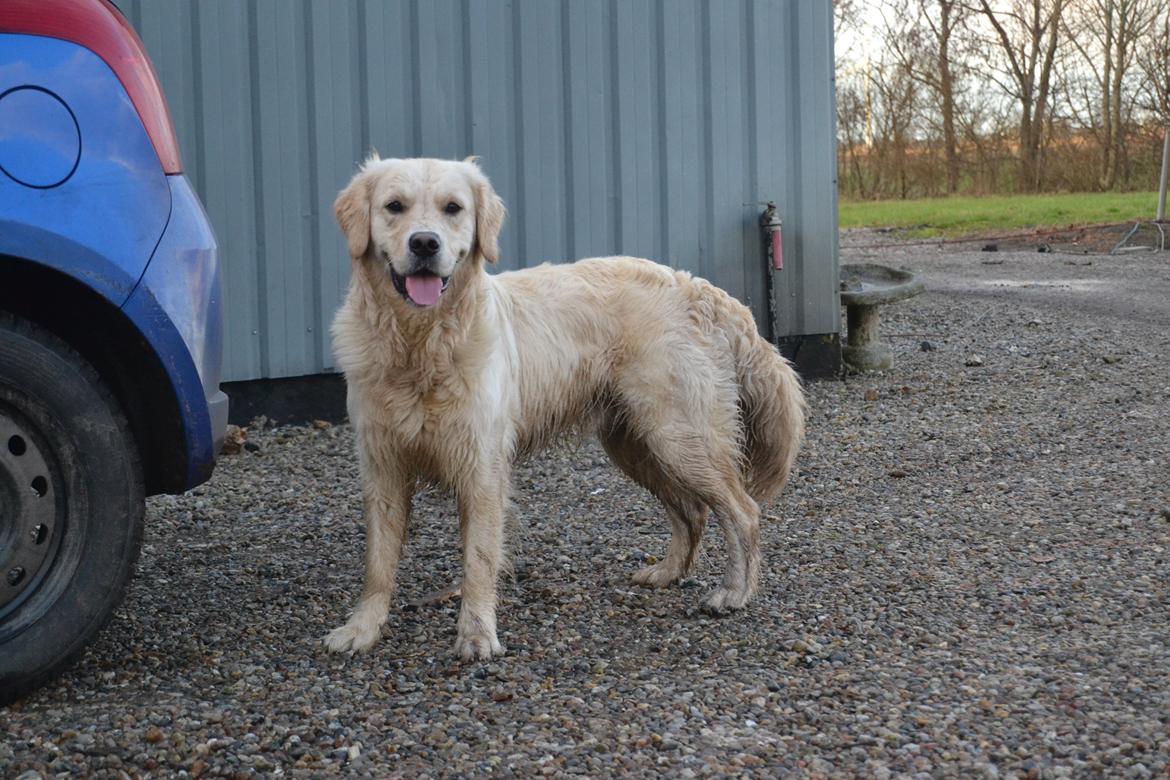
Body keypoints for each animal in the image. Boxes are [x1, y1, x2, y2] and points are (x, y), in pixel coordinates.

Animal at [327, 156, 804, 659]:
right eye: (393, 206)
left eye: (452, 208)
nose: (424, 243)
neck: (420, 343)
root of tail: (702, 288)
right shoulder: (382, 467)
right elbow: (378, 562)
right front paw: (362, 629)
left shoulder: (482, 469)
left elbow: (478, 560)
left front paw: (476, 634)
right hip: (637, 443)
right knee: (693, 511)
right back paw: (667, 572)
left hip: (681, 437)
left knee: (742, 510)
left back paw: (734, 592)